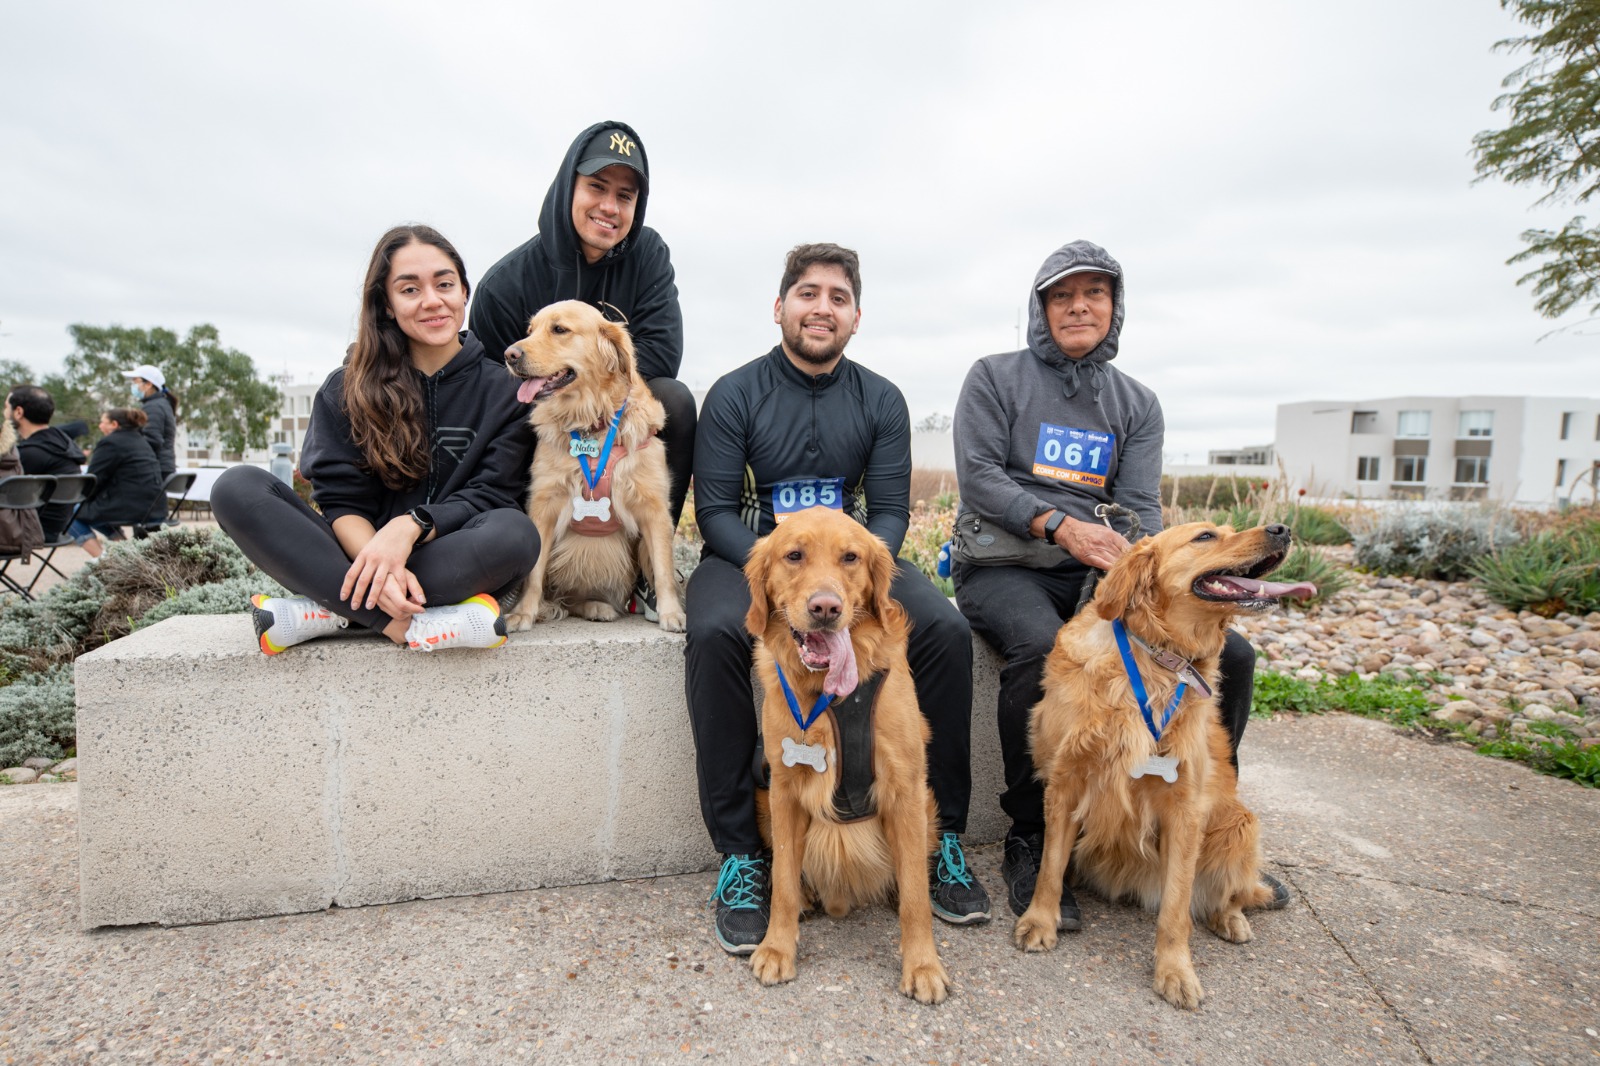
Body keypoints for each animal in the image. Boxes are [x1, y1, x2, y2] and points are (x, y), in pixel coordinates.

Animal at [496, 300, 678, 630]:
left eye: (559, 329)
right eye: (530, 330)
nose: (510, 355)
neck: (591, 423)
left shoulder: (654, 507)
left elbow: (663, 568)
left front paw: (672, 613)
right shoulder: (543, 505)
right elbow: (533, 573)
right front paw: (522, 613)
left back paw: (598, 606)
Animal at [745, 508, 953, 1005]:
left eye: (851, 557)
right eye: (794, 555)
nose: (826, 608)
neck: (834, 697)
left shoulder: (906, 788)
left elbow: (916, 895)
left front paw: (922, 965)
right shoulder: (783, 790)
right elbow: (783, 878)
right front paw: (777, 948)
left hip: (927, 806)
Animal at [1011, 518, 1312, 1011]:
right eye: (1206, 536)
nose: (1282, 528)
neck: (1155, 658)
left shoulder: (1185, 808)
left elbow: (1176, 906)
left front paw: (1175, 971)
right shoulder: (1066, 779)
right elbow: (1050, 867)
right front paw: (1040, 921)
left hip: (1239, 823)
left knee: (1228, 894)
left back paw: (1230, 919)